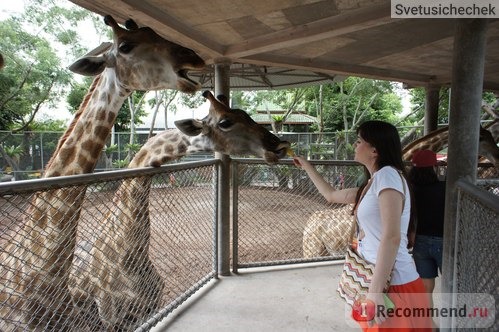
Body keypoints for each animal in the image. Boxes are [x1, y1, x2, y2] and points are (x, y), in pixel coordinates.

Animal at [68, 90, 292, 330]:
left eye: (246, 114)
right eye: (225, 122)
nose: (279, 145)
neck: (130, 256)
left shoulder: (150, 306)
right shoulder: (110, 316)